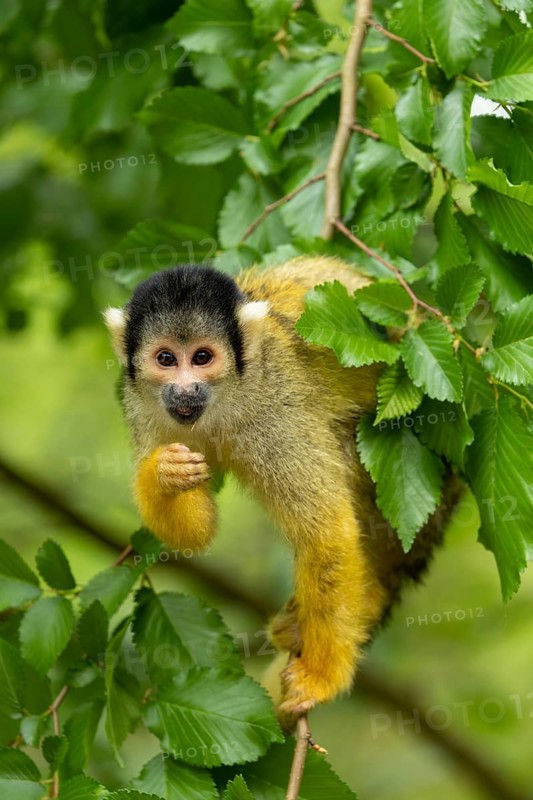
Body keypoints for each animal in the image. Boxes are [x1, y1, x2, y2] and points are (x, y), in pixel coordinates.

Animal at [104, 256, 462, 725]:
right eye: (165, 358)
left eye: (202, 357)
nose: (184, 389)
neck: (227, 400)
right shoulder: (145, 409)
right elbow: (195, 534)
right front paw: (166, 475)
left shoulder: (276, 411)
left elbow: (325, 531)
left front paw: (323, 677)